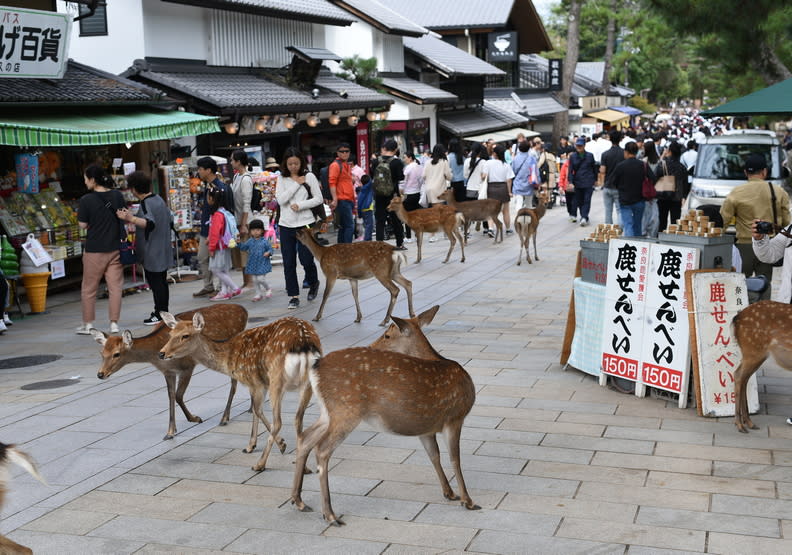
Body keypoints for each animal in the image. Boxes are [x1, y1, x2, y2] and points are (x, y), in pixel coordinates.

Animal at [89, 302, 248, 440]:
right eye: (102, 353)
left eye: (116, 354)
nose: (100, 374)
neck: (155, 355)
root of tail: (243, 310)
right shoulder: (168, 372)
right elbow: (170, 396)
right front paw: (170, 432)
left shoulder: (187, 365)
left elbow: (178, 395)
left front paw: (195, 419)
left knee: (234, 383)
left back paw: (225, 417)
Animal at [159, 314, 320, 472]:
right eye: (170, 334)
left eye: (185, 335)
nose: (162, 353)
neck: (229, 358)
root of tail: (304, 342)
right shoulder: (260, 383)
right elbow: (255, 411)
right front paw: (252, 446)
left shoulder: (254, 381)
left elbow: (257, 410)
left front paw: (277, 445)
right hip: (307, 382)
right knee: (298, 418)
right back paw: (303, 465)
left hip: (277, 378)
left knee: (279, 422)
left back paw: (260, 464)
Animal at [290, 306, 476, 528]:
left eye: (387, 335)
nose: (372, 345)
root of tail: (314, 368)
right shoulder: (455, 416)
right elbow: (455, 458)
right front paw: (467, 500)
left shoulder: (426, 428)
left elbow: (434, 455)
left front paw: (449, 493)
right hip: (346, 409)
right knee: (322, 449)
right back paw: (330, 514)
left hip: (329, 411)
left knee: (305, 437)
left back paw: (298, 501)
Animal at [732, 300, 792, 434]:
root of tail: (736, 318)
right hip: (753, 350)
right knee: (738, 375)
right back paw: (740, 425)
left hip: (755, 354)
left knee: (744, 378)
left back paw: (749, 422)